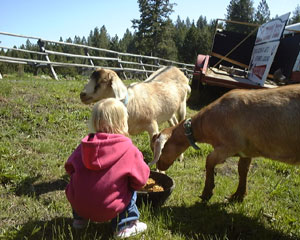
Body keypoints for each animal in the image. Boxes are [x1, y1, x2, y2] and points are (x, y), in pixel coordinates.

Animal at [150, 84, 300, 201]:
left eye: (160, 149)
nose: (159, 167)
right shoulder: (246, 150)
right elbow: (242, 170)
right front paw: (238, 195)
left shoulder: (230, 146)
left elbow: (209, 160)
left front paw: (207, 192)